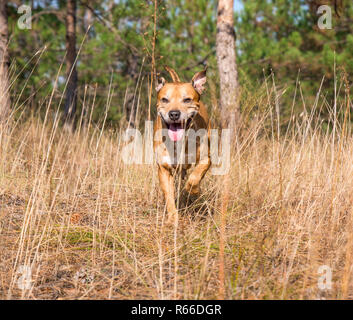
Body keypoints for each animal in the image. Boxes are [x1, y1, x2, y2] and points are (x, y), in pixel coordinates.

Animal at [153, 66, 209, 224]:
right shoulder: (164, 168)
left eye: (187, 99)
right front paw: (173, 218)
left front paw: (192, 190)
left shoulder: (206, 159)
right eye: (165, 99)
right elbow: (169, 196)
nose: (174, 114)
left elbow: (195, 177)